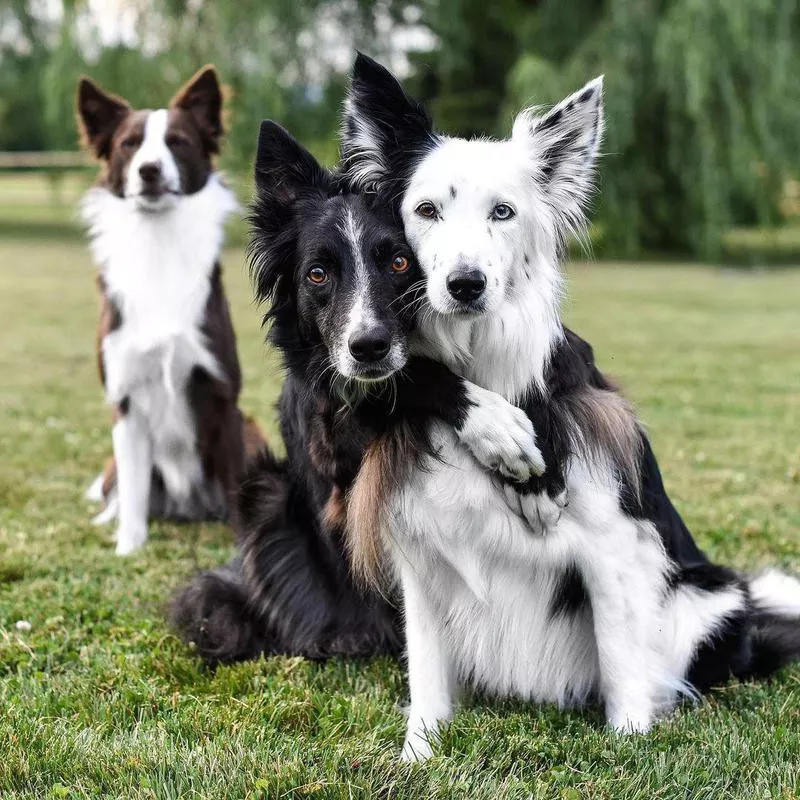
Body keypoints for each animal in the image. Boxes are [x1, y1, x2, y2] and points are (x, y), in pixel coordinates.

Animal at [77, 67, 260, 556]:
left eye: (177, 142)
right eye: (129, 144)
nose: (150, 170)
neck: (157, 244)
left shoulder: (223, 394)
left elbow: (238, 490)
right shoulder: (124, 401)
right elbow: (133, 493)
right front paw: (127, 548)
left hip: (252, 431)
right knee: (120, 489)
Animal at [169, 122, 544, 664]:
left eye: (400, 262)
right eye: (317, 274)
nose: (367, 347)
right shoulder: (330, 434)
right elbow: (409, 379)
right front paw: (493, 424)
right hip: (266, 490)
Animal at [340, 54, 800, 756]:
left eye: (503, 212)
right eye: (425, 210)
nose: (466, 284)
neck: (482, 363)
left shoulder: (614, 547)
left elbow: (620, 659)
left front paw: (630, 744)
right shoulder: (421, 553)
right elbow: (427, 674)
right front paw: (419, 752)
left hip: (707, 602)